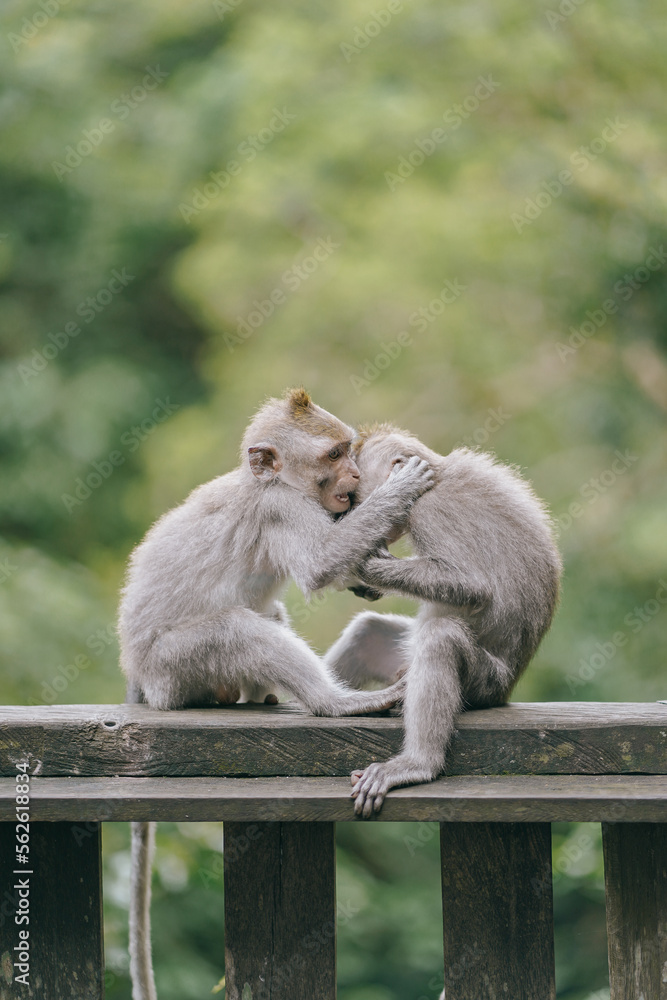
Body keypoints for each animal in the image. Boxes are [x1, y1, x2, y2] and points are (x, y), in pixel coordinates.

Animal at [118, 391, 435, 1000]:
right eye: (335, 455)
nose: (355, 477)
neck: (269, 481)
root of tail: (138, 680)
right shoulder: (279, 510)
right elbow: (319, 562)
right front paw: (400, 489)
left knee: (269, 618)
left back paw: (258, 697)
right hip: (172, 668)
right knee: (240, 630)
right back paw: (333, 702)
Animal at [323, 424, 562, 819]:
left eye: (354, 495)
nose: (349, 519)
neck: (436, 474)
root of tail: (508, 689)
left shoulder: (431, 512)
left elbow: (474, 587)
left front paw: (365, 567)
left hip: (484, 685)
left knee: (441, 637)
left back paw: (418, 764)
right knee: (368, 631)